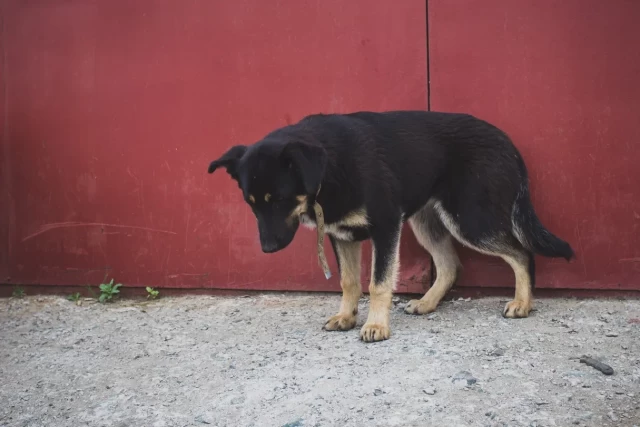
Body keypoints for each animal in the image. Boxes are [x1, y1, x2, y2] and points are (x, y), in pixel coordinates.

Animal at [208, 111, 572, 344]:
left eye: (280, 199)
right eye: (251, 203)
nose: (267, 249)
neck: (328, 167)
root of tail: (508, 144)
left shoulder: (385, 228)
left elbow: (378, 283)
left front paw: (375, 325)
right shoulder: (342, 236)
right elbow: (349, 282)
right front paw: (347, 316)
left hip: (470, 220)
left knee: (521, 253)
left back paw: (522, 303)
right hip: (427, 223)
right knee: (450, 265)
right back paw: (427, 303)